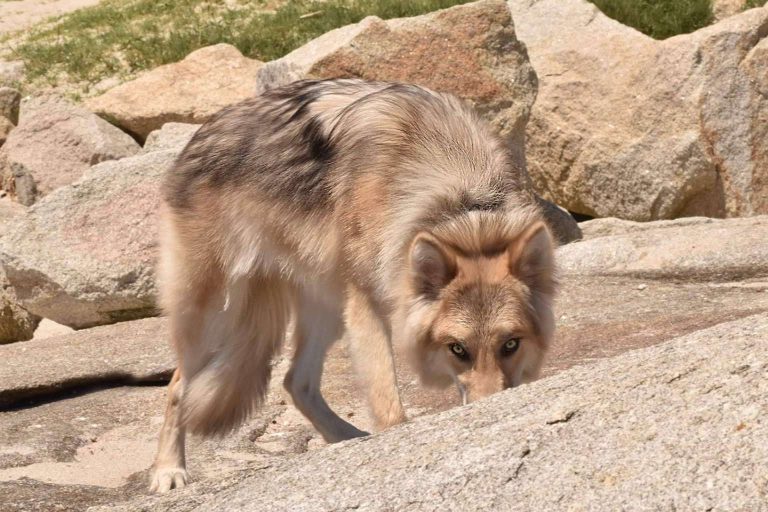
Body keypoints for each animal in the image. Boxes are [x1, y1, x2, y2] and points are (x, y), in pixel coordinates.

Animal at [151, 79, 557, 492]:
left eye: (510, 345)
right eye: (458, 349)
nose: (488, 409)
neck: (464, 201)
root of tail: (202, 131)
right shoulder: (366, 302)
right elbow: (387, 402)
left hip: (326, 310)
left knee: (295, 382)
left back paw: (348, 439)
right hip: (215, 314)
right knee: (178, 386)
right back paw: (168, 471)